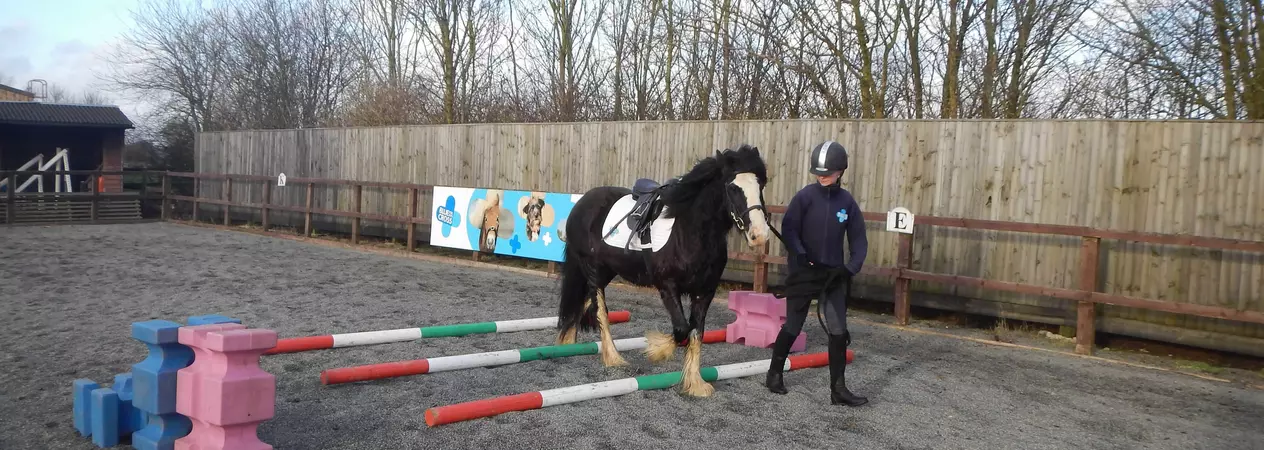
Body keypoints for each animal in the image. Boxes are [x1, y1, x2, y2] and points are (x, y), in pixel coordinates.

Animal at [554, 144, 772, 397]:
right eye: (732, 187)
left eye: (761, 185)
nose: (759, 234)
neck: (690, 230)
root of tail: (582, 203)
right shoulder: (667, 286)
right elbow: (682, 330)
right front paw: (656, 350)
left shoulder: (705, 292)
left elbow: (696, 334)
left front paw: (695, 383)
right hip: (593, 271)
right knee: (600, 311)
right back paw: (613, 357)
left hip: (606, 271)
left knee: (582, 304)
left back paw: (568, 342)